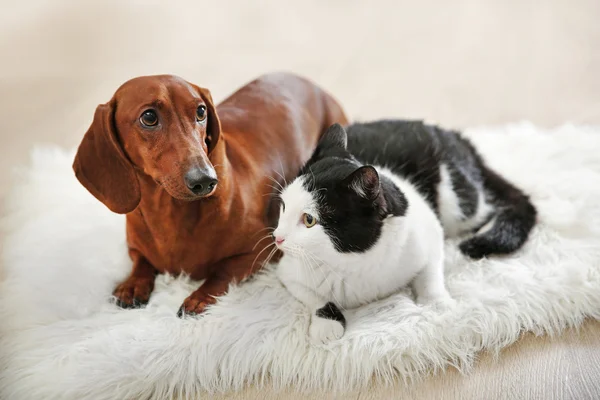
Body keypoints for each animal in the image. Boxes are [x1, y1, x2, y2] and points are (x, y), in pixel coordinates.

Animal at [72, 72, 350, 316]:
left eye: (201, 111)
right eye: (149, 117)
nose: (205, 180)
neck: (168, 214)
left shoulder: (262, 251)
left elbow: (221, 272)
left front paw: (200, 297)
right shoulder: (134, 248)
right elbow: (140, 262)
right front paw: (132, 284)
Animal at [270, 119, 536, 344]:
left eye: (309, 219)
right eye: (283, 206)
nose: (277, 238)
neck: (353, 261)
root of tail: (454, 136)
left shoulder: (428, 231)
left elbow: (431, 273)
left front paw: (437, 303)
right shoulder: (288, 272)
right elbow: (315, 298)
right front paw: (326, 325)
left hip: (458, 203)